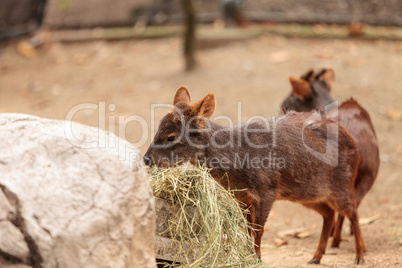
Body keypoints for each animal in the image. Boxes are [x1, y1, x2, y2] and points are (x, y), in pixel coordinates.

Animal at [144, 86, 368, 264]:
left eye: (171, 136)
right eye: (157, 130)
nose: (146, 158)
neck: (238, 164)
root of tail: (352, 142)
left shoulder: (267, 190)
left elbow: (259, 231)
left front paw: (256, 259)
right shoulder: (241, 196)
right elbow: (248, 230)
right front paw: (249, 257)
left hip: (342, 183)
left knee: (353, 212)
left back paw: (359, 255)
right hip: (307, 193)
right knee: (329, 213)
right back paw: (316, 257)